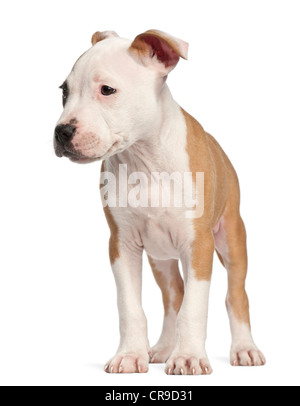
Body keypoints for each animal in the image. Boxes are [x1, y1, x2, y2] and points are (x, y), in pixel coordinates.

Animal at [53, 30, 264, 376]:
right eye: (64, 92)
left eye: (107, 90)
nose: (61, 131)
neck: (145, 159)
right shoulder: (122, 245)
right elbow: (130, 307)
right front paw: (129, 355)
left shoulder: (199, 245)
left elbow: (194, 307)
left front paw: (189, 357)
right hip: (160, 257)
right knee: (173, 295)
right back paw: (164, 348)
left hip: (231, 238)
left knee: (235, 295)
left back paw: (245, 349)